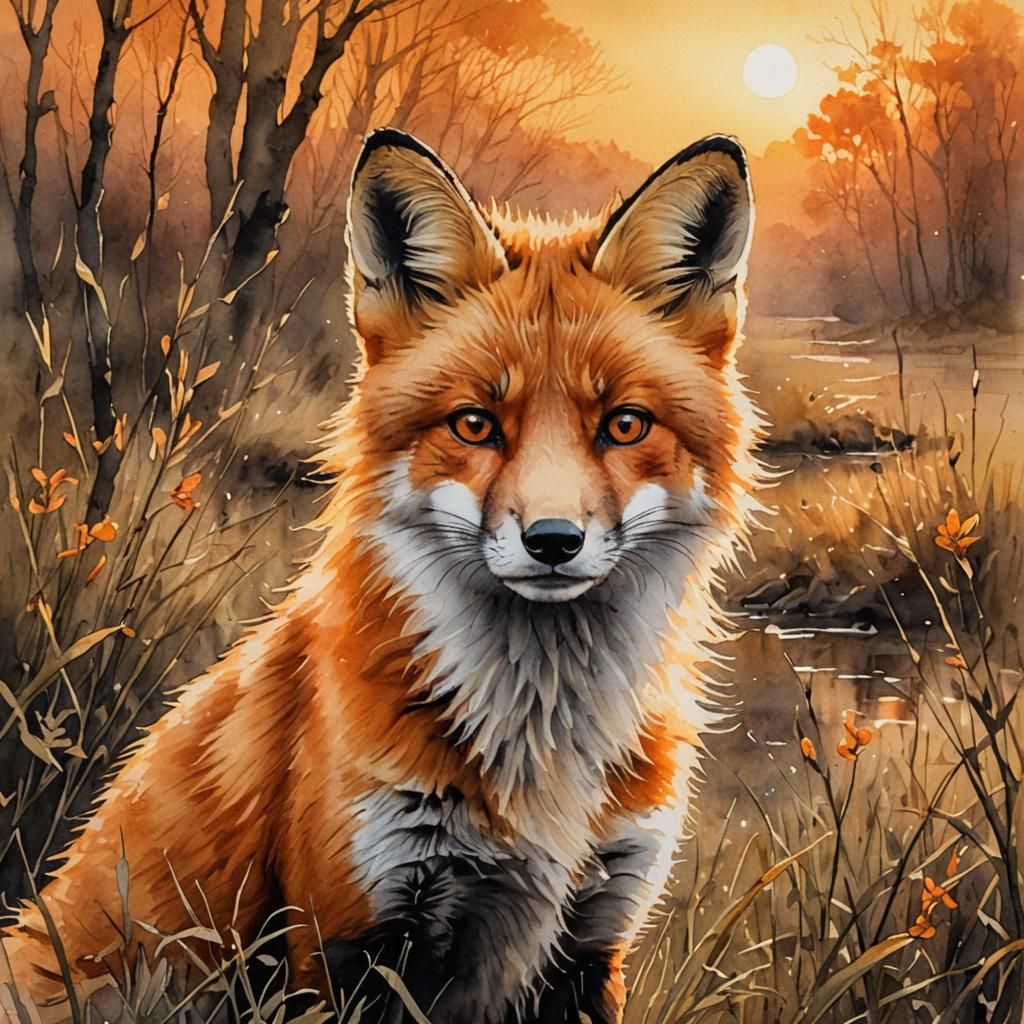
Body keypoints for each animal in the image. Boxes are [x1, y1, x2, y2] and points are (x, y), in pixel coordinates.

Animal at [1, 129, 763, 1024]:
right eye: (475, 425)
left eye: (624, 425)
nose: (553, 541)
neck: (539, 755)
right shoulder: (344, 942)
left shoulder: (591, 939)